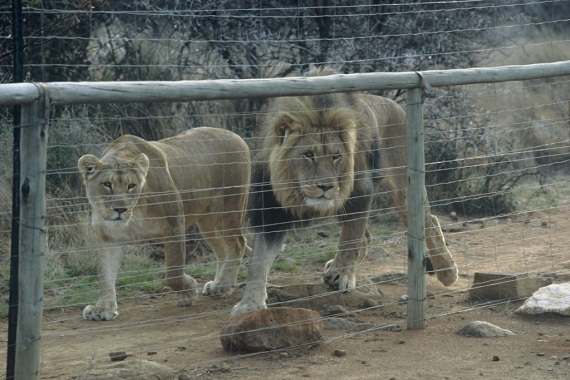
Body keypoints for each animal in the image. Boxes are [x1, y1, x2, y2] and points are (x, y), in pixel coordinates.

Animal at [77, 127, 248, 320]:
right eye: (107, 184)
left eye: (131, 186)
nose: (120, 209)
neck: (135, 212)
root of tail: (234, 134)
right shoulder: (107, 238)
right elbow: (105, 276)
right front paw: (102, 309)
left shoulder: (175, 226)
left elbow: (173, 274)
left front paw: (189, 290)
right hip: (206, 222)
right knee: (222, 249)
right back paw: (217, 285)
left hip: (227, 209)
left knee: (238, 243)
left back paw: (223, 284)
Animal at [231, 69, 458, 318]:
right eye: (308, 154)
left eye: (336, 156)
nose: (326, 187)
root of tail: (395, 105)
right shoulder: (271, 209)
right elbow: (258, 261)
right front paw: (249, 303)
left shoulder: (359, 191)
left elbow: (350, 237)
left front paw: (343, 274)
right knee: (367, 237)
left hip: (403, 187)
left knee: (430, 222)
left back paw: (447, 272)